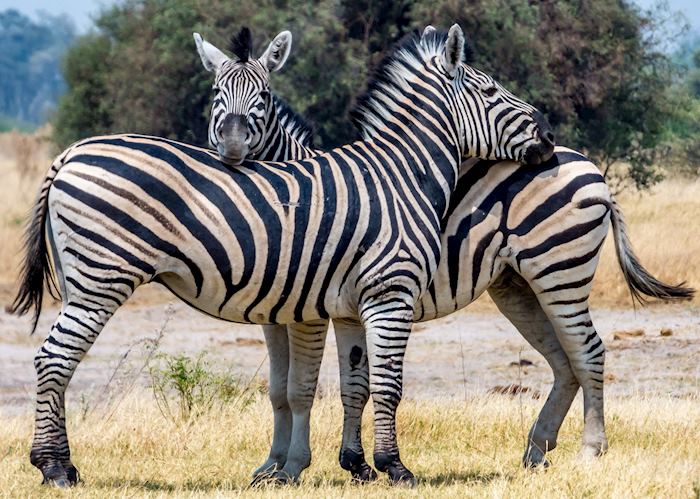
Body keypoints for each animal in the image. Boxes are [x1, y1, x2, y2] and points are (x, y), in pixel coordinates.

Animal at [10, 25, 555, 487]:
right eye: (491, 92)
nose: (550, 137)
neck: (400, 176)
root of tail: (71, 152)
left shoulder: (340, 304)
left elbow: (345, 385)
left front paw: (349, 466)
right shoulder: (389, 294)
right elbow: (386, 385)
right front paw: (394, 467)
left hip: (85, 281)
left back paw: (60, 464)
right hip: (100, 279)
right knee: (53, 359)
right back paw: (54, 468)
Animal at [196, 26, 693, 483]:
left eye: (263, 96)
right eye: (216, 94)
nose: (232, 148)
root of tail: (586, 163)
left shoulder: (318, 310)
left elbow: (310, 388)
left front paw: (305, 466)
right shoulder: (294, 312)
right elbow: (291, 389)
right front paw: (286, 465)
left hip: (560, 272)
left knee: (588, 351)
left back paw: (590, 450)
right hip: (518, 285)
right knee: (564, 358)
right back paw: (537, 449)